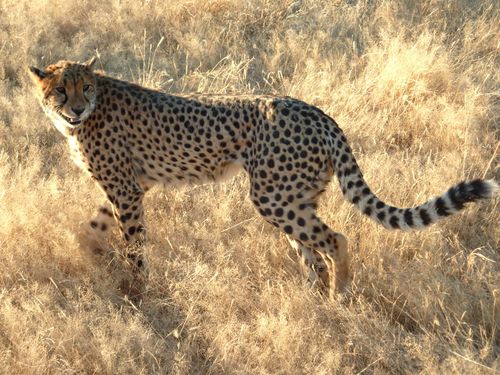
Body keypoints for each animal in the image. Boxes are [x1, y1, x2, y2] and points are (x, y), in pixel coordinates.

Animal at [30, 58, 496, 294]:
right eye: (61, 90)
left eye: (84, 88)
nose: (75, 108)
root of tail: (317, 112)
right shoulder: (132, 185)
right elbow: (96, 223)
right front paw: (86, 249)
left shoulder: (126, 188)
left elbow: (133, 243)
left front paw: (136, 288)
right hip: (295, 197)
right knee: (313, 253)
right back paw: (315, 301)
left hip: (272, 197)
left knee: (336, 240)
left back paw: (339, 293)